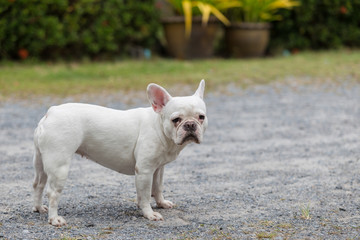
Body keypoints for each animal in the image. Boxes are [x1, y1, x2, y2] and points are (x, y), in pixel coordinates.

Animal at [33, 79, 208, 226]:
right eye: (176, 120)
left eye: (201, 117)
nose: (190, 124)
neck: (159, 125)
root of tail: (51, 113)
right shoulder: (144, 170)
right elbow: (145, 195)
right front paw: (149, 214)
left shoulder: (158, 168)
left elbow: (157, 187)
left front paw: (161, 203)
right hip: (59, 166)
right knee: (52, 193)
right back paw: (54, 219)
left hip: (41, 162)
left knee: (38, 184)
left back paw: (39, 208)